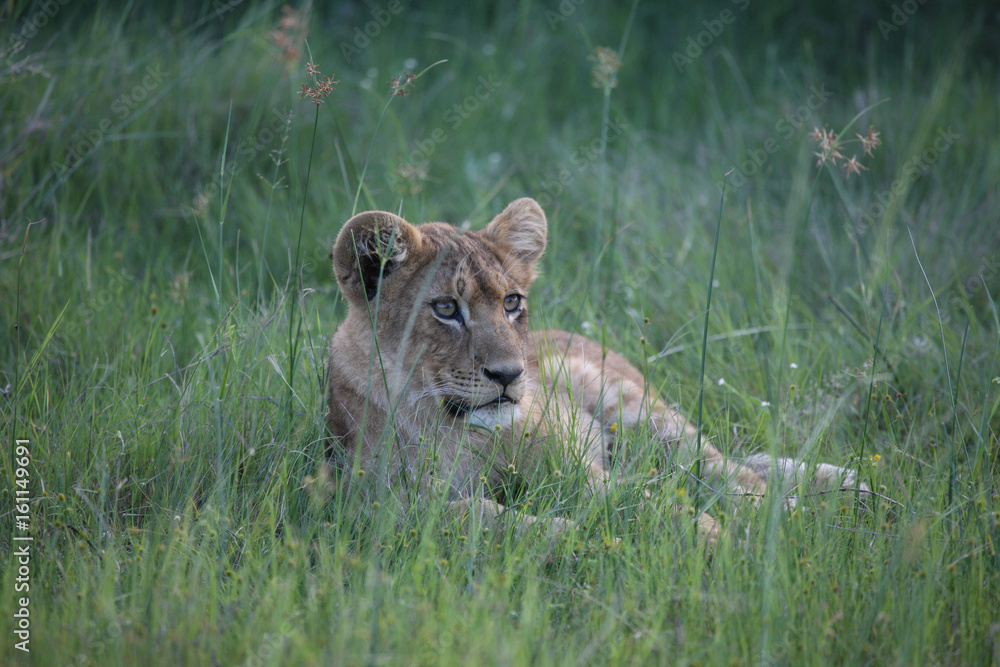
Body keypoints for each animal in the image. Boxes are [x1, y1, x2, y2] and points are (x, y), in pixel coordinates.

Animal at [326, 197, 864, 541]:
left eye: (511, 303)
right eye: (444, 309)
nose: (509, 375)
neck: (453, 429)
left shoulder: (577, 467)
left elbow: (637, 500)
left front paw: (710, 536)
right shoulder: (377, 507)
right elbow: (476, 514)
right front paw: (566, 535)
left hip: (637, 413)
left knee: (725, 471)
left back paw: (802, 507)